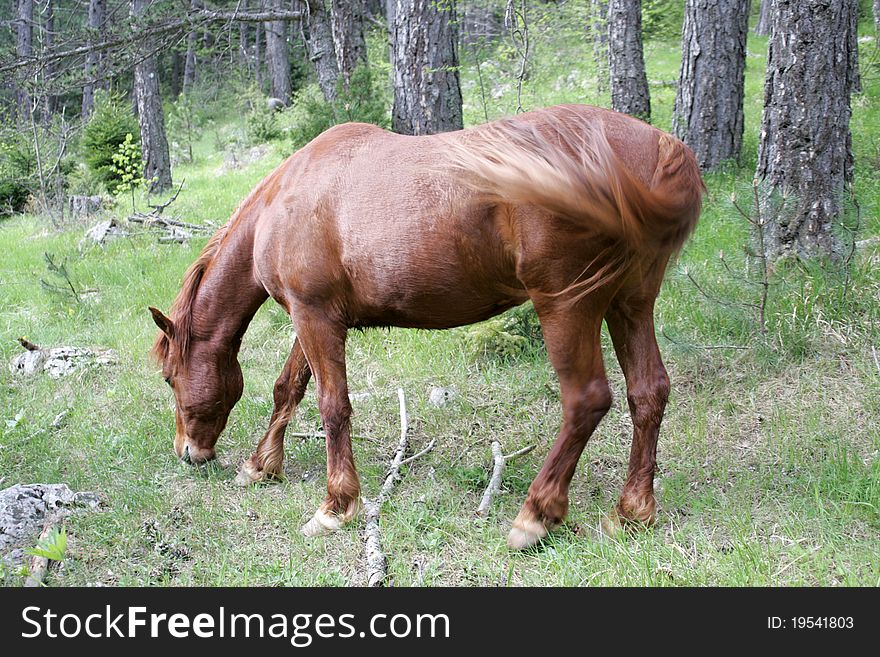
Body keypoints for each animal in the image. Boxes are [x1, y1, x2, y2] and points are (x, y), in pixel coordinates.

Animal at [150, 104, 700, 548]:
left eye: (170, 378)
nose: (187, 453)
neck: (284, 200)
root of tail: (657, 148)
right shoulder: (314, 317)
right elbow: (289, 388)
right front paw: (261, 466)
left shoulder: (314, 317)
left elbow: (333, 406)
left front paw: (335, 506)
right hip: (629, 304)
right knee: (648, 392)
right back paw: (632, 512)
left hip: (567, 307)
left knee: (586, 400)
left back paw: (536, 515)